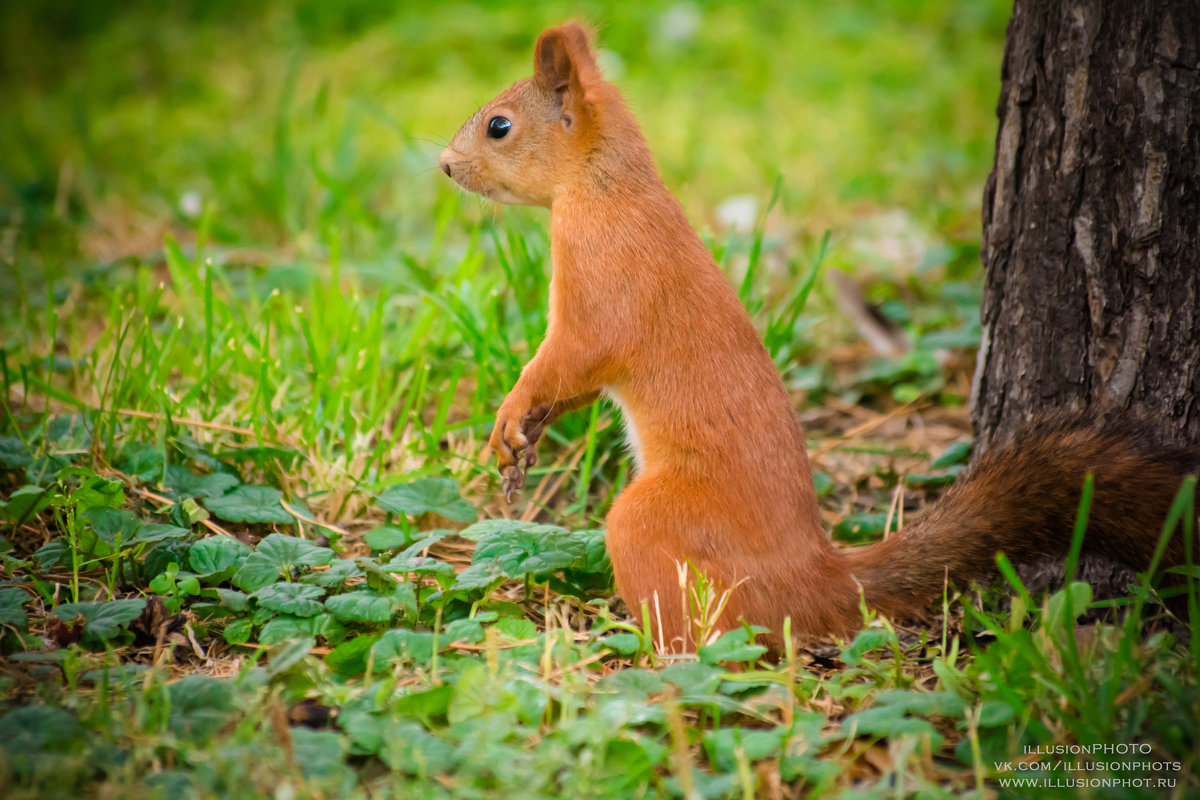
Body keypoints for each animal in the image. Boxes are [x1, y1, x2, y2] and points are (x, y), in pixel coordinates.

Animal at [444, 21, 1200, 652]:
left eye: (499, 126)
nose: (446, 167)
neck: (607, 186)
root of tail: (817, 576)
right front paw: (524, 434)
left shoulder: (602, 280)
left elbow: (574, 356)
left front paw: (513, 410)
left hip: (656, 522)